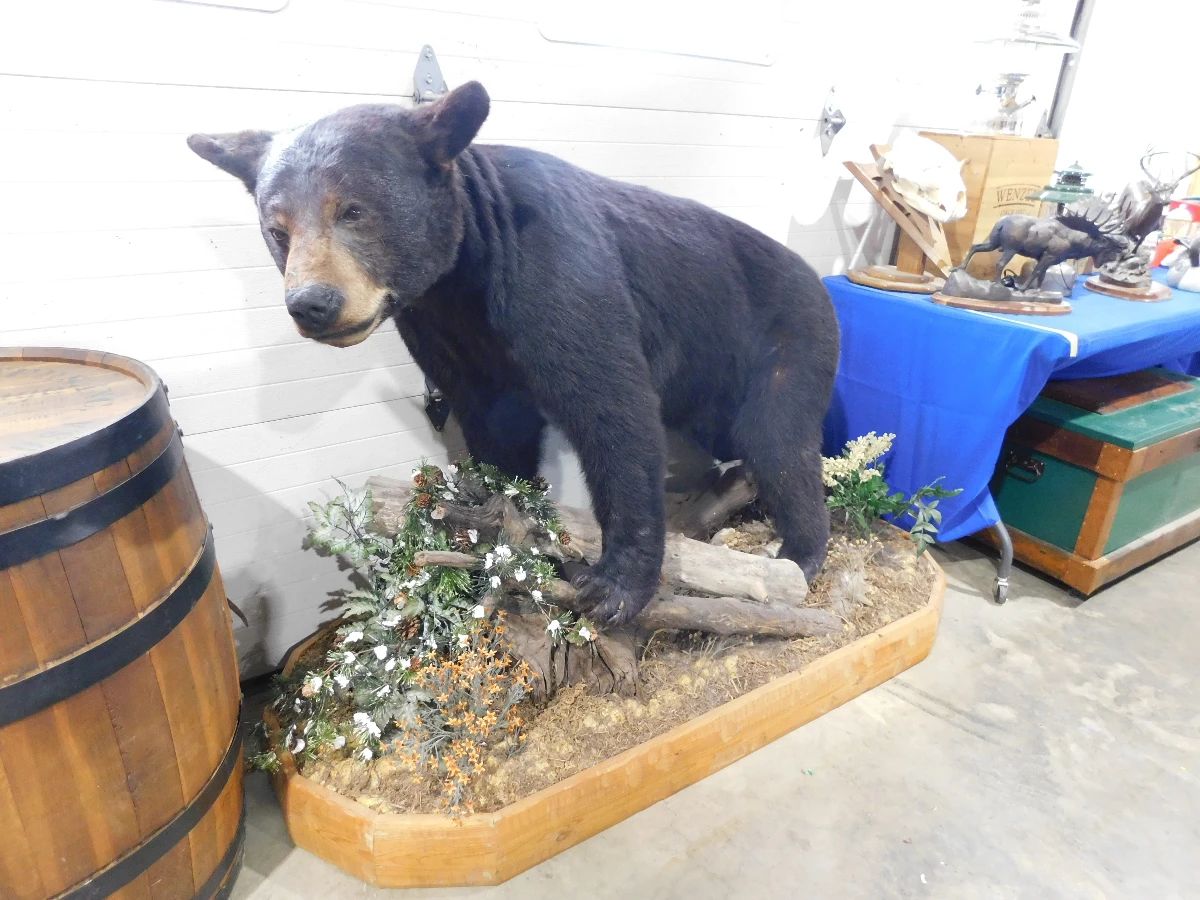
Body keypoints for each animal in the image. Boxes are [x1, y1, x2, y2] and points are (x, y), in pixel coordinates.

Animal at [188, 81, 839, 625]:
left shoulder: (558, 274)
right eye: (278, 229)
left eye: (352, 210)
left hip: (787, 340)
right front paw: (505, 530)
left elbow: (614, 409)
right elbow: (496, 424)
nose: (313, 303)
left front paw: (613, 586)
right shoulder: (444, 330)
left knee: (779, 440)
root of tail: (820, 281)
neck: (466, 273)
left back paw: (799, 553)